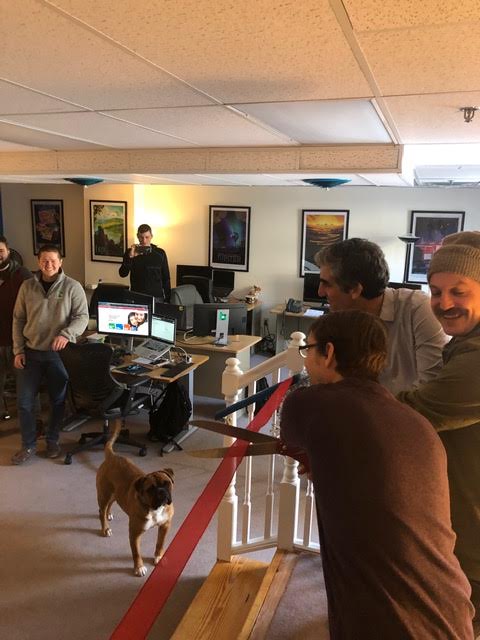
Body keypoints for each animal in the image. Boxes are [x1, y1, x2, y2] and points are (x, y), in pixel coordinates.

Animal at [95, 422, 174, 576]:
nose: (162, 492)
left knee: (109, 506)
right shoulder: (135, 533)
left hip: (115, 494)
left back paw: (109, 514)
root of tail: (112, 456)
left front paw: (158, 556)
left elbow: (160, 543)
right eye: (150, 489)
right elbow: (136, 553)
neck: (154, 508)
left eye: (167, 483)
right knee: (101, 511)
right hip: (104, 494)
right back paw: (105, 528)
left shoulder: (165, 525)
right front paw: (139, 567)